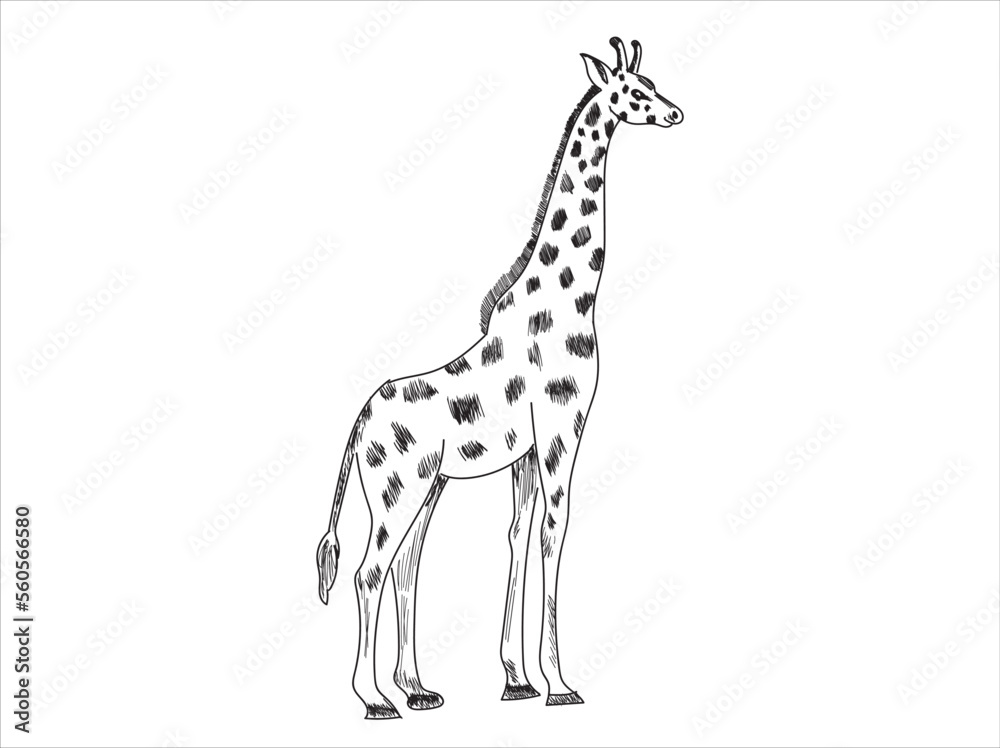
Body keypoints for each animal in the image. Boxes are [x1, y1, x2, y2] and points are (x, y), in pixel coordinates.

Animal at [317, 37, 683, 719]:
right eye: (634, 92)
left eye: (652, 84)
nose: (675, 113)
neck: (571, 298)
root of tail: (357, 426)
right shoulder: (565, 426)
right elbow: (553, 534)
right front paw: (559, 684)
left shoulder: (529, 448)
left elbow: (518, 535)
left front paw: (517, 679)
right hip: (396, 490)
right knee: (368, 571)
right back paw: (375, 699)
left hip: (425, 487)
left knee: (406, 567)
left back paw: (417, 689)